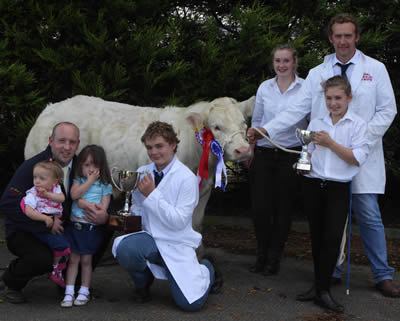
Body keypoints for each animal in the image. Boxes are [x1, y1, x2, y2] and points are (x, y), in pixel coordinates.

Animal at [25, 94, 255, 229]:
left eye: (243, 123)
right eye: (216, 127)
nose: (243, 150)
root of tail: (47, 110)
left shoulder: (204, 190)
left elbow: (194, 226)